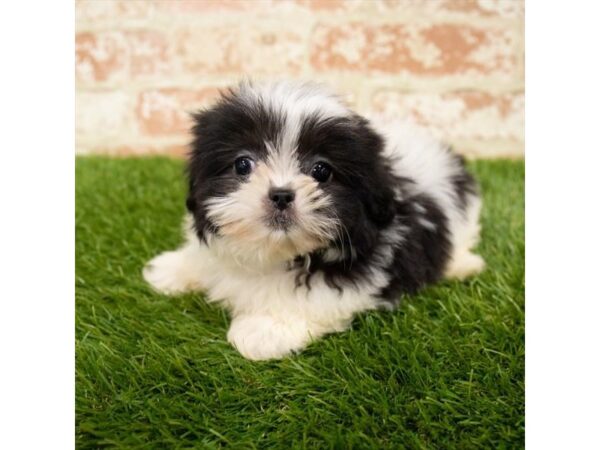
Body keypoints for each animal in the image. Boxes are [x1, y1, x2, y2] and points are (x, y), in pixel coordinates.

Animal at [143, 81, 486, 360]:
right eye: (242, 164)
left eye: (321, 171)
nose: (281, 194)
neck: (272, 252)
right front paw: (173, 269)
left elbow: (314, 296)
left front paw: (263, 330)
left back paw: (464, 265)